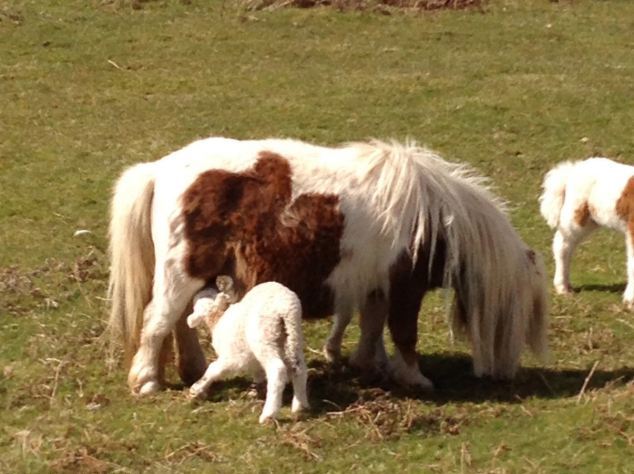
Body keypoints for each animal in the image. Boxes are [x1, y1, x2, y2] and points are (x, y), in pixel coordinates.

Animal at [107, 137, 544, 396]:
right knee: (158, 321)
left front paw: (369, 364)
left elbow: (372, 326)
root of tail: (159, 169)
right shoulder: (405, 286)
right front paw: (415, 377)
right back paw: (147, 381)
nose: (507, 375)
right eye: (521, 315)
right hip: (182, 273)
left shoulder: (376, 285)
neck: (433, 217)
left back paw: (191, 369)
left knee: (181, 320)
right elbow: (404, 333)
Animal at [184, 276, 310, 424]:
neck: (218, 318)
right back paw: (300, 406)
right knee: (299, 368)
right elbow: (258, 372)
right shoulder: (251, 358)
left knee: (277, 369)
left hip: (264, 336)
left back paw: (268, 414)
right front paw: (257, 390)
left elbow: (214, 369)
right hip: (293, 337)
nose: (207, 285)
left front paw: (196, 389)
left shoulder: (233, 357)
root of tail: (284, 308)